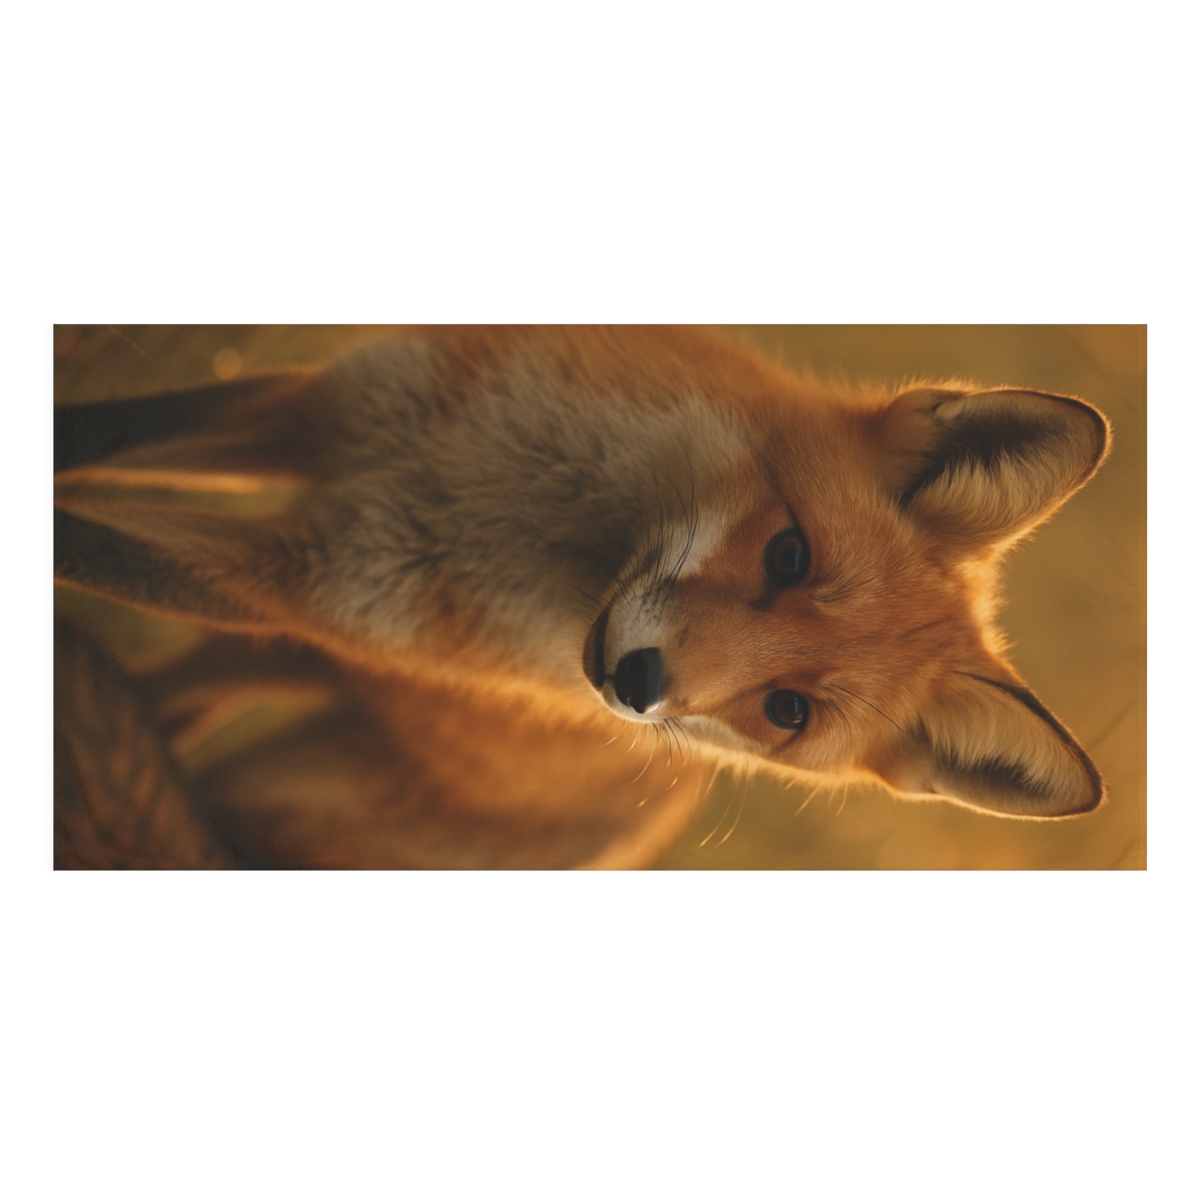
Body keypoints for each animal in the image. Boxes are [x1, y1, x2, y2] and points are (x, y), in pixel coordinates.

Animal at [53, 326, 1111, 868]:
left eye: (787, 712)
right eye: (788, 553)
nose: (637, 682)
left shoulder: (295, 582)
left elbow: (75, 537)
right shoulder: (319, 419)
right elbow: (89, 441)